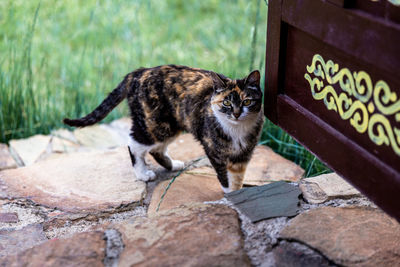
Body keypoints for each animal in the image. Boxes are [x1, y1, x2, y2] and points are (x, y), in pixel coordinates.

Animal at [64, 66, 264, 194]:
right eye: (226, 103)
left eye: (247, 101)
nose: (236, 114)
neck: (237, 130)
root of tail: (138, 72)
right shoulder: (214, 151)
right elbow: (225, 177)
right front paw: (230, 195)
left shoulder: (243, 154)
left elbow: (237, 177)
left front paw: (238, 193)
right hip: (155, 126)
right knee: (134, 144)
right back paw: (143, 174)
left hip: (170, 126)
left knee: (156, 149)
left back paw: (172, 165)